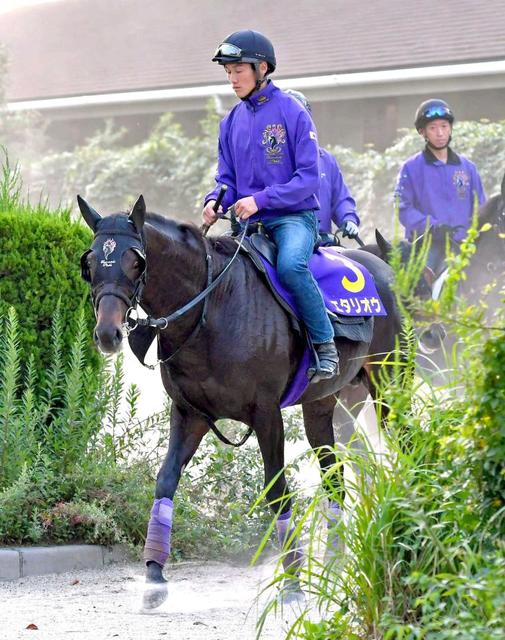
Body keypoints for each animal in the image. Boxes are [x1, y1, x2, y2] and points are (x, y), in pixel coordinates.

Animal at [77, 194, 405, 609]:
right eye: (90, 263)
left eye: (136, 261)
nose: (108, 333)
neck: (215, 307)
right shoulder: (189, 414)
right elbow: (165, 481)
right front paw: (154, 575)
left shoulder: (267, 416)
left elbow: (277, 493)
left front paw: (293, 582)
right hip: (322, 406)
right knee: (334, 480)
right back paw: (335, 560)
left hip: (389, 384)